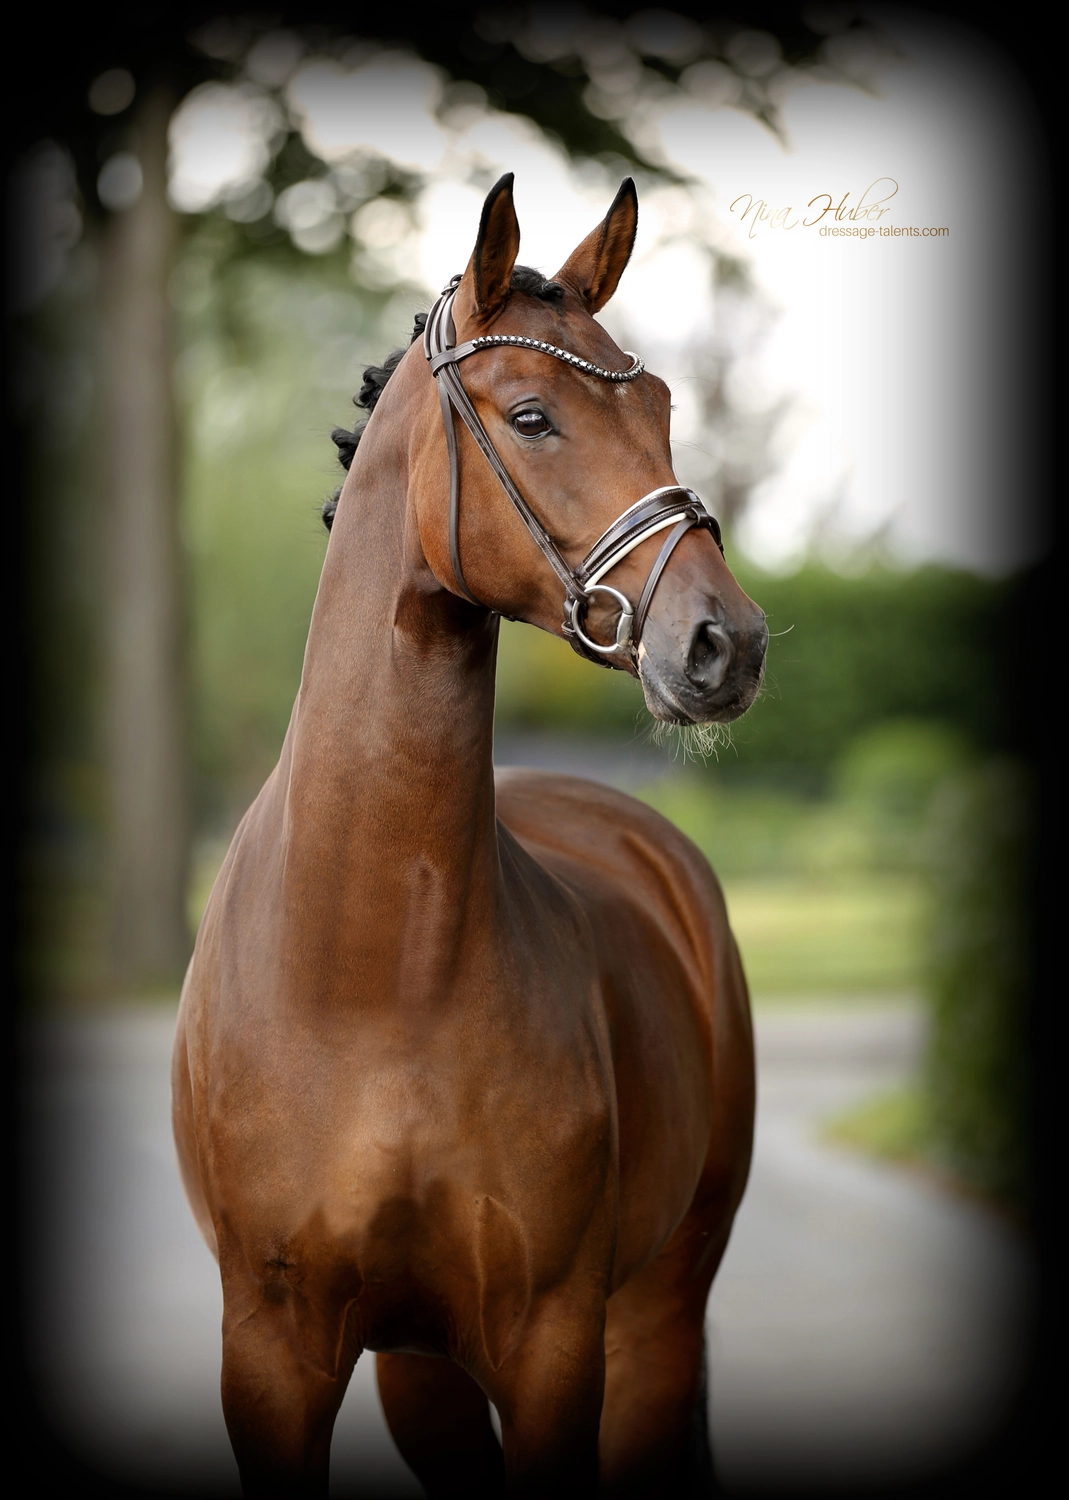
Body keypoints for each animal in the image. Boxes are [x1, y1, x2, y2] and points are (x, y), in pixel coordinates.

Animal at [172, 173, 768, 1497]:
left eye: (658, 404)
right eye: (533, 416)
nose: (726, 643)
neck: (374, 980)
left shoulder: (552, 1349)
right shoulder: (271, 1356)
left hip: (655, 1321)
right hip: (422, 1374)